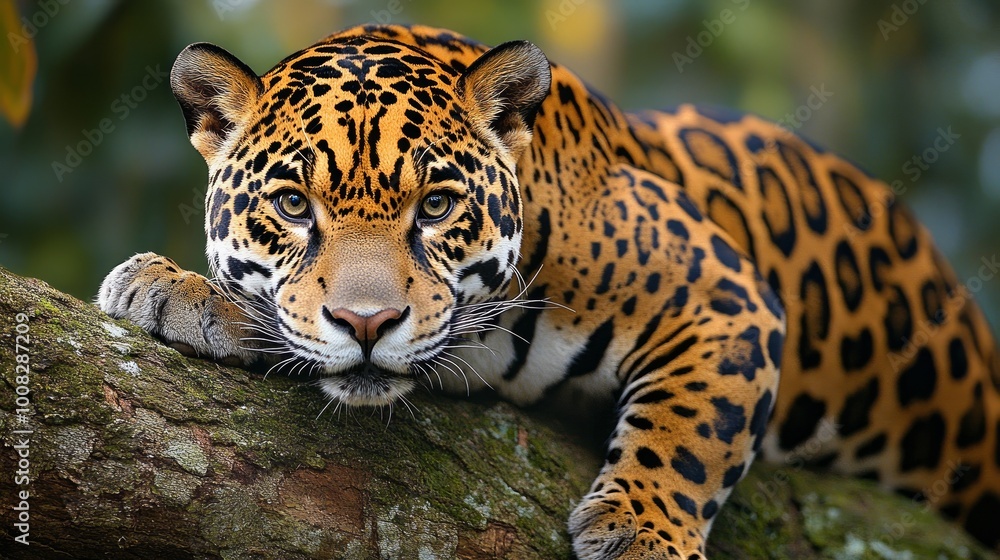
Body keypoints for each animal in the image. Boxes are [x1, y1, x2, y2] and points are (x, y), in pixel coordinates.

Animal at [97, 23, 1000, 559]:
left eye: (436, 207)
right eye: (292, 206)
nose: (367, 322)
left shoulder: (725, 292)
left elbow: (692, 427)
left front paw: (645, 531)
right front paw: (173, 287)